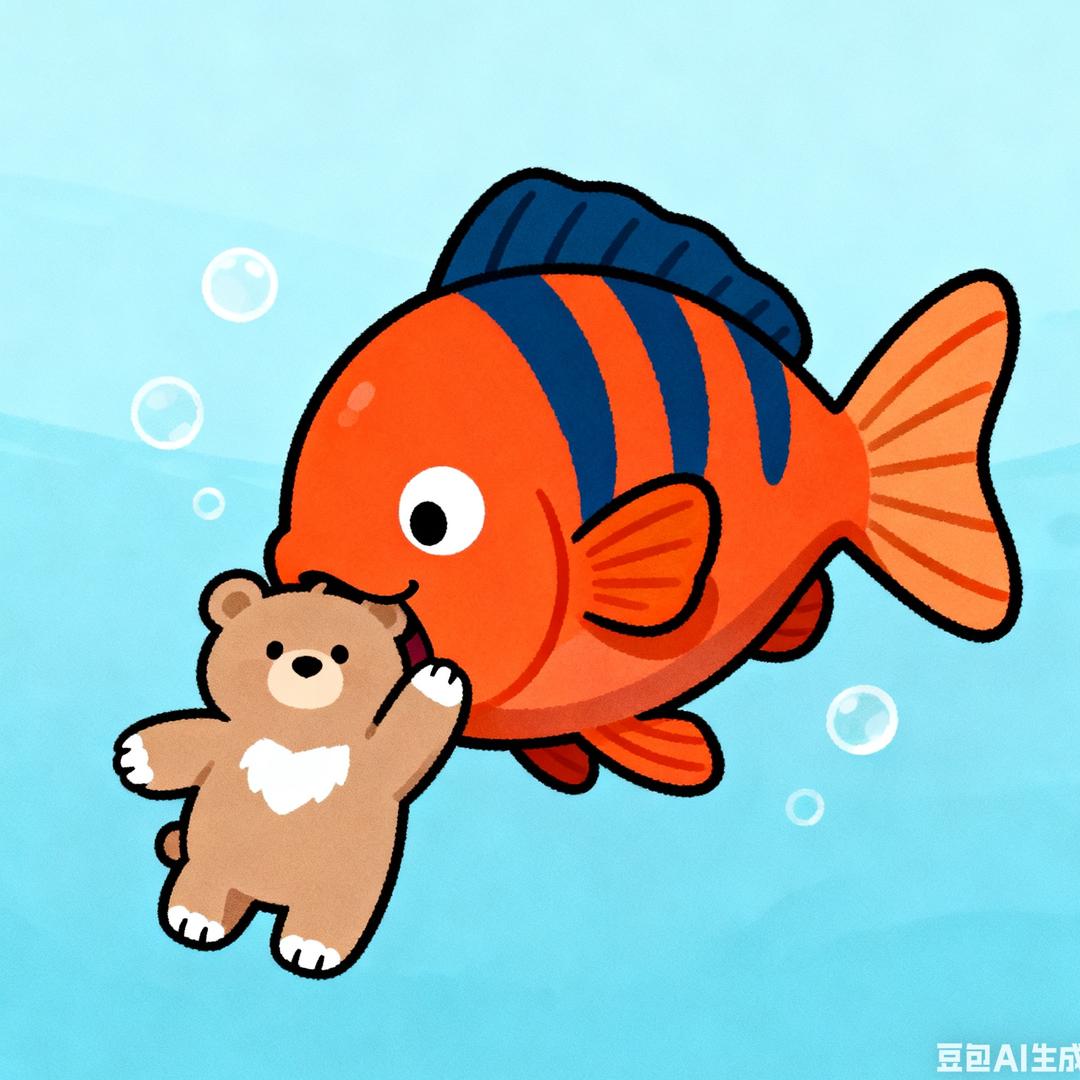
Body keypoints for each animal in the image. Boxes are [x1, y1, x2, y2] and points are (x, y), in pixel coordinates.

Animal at [113, 569, 469, 978]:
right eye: (273, 647)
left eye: (342, 653)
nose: (307, 664)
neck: (297, 737)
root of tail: (266, 898)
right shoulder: (226, 739)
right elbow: (194, 739)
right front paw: (135, 755)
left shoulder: (378, 763)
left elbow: (406, 740)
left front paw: (438, 679)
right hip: (214, 862)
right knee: (209, 885)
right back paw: (195, 918)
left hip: (343, 890)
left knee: (328, 915)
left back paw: (310, 947)